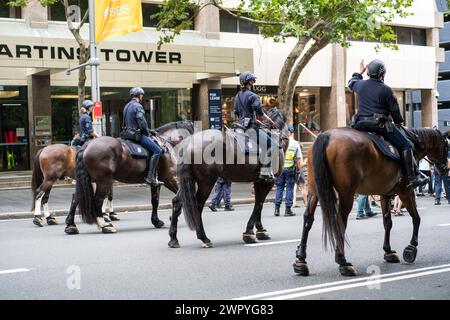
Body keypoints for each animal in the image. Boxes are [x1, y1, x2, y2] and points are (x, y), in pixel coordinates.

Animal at [171, 107, 290, 248]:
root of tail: (189, 143)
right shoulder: (267, 182)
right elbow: (259, 204)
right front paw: (250, 233)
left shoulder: (259, 181)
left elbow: (258, 204)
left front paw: (260, 230)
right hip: (206, 182)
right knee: (197, 205)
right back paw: (204, 238)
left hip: (189, 181)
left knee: (177, 202)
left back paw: (173, 239)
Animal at [294, 127, 448, 278]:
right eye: (447, 146)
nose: (445, 168)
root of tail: (326, 135)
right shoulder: (406, 191)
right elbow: (416, 218)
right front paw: (411, 248)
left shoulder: (385, 194)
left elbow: (387, 223)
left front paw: (388, 251)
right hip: (346, 194)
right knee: (340, 222)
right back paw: (342, 261)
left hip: (315, 190)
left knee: (308, 218)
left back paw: (301, 260)